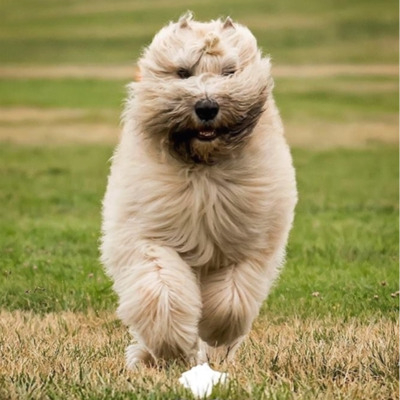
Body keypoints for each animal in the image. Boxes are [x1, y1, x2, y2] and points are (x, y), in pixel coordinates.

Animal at [101, 12, 296, 368]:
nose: (207, 107)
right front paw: (171, 347)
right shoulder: (149, 235)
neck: (204, 167)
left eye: (229, 72)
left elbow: (232, 301)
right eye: (183, 72)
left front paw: (216, 332)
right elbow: (161, 291)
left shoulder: (246, 243)